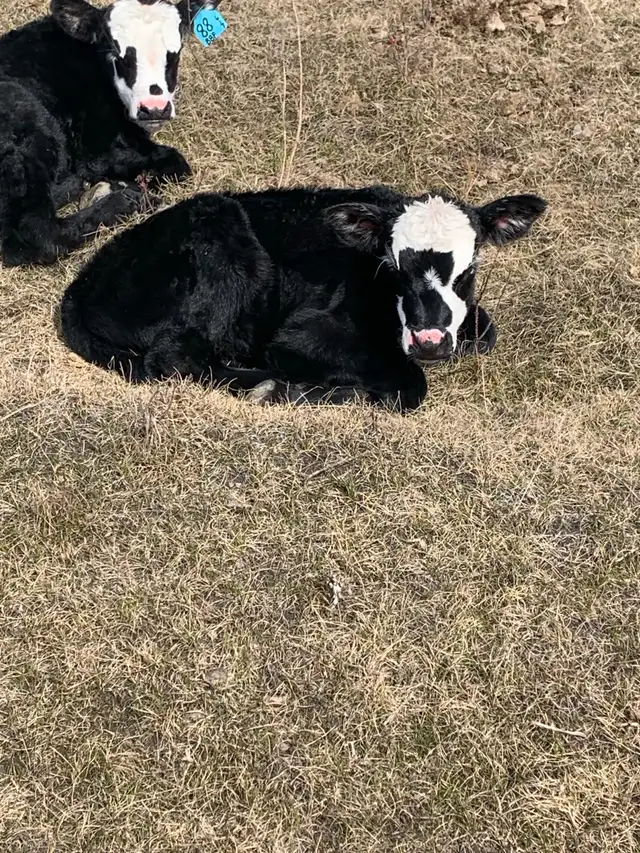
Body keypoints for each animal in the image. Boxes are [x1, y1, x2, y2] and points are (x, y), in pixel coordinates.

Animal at [0, 0, 214, 267]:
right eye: (119, 57)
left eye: (174, 55)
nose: (154, 108)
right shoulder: (98, 146)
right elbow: (176, 163)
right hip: (29, 129)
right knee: (40, 235)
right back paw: (127, 199)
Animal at [59, 185, 547, 411]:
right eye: (393, 269)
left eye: (469, 270)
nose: (429, 342)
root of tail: (81, 285)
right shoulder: (302, 336)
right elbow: (409, 386)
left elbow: (486, 331)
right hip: (221, 237)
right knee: (176, 358)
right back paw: (273, 387)